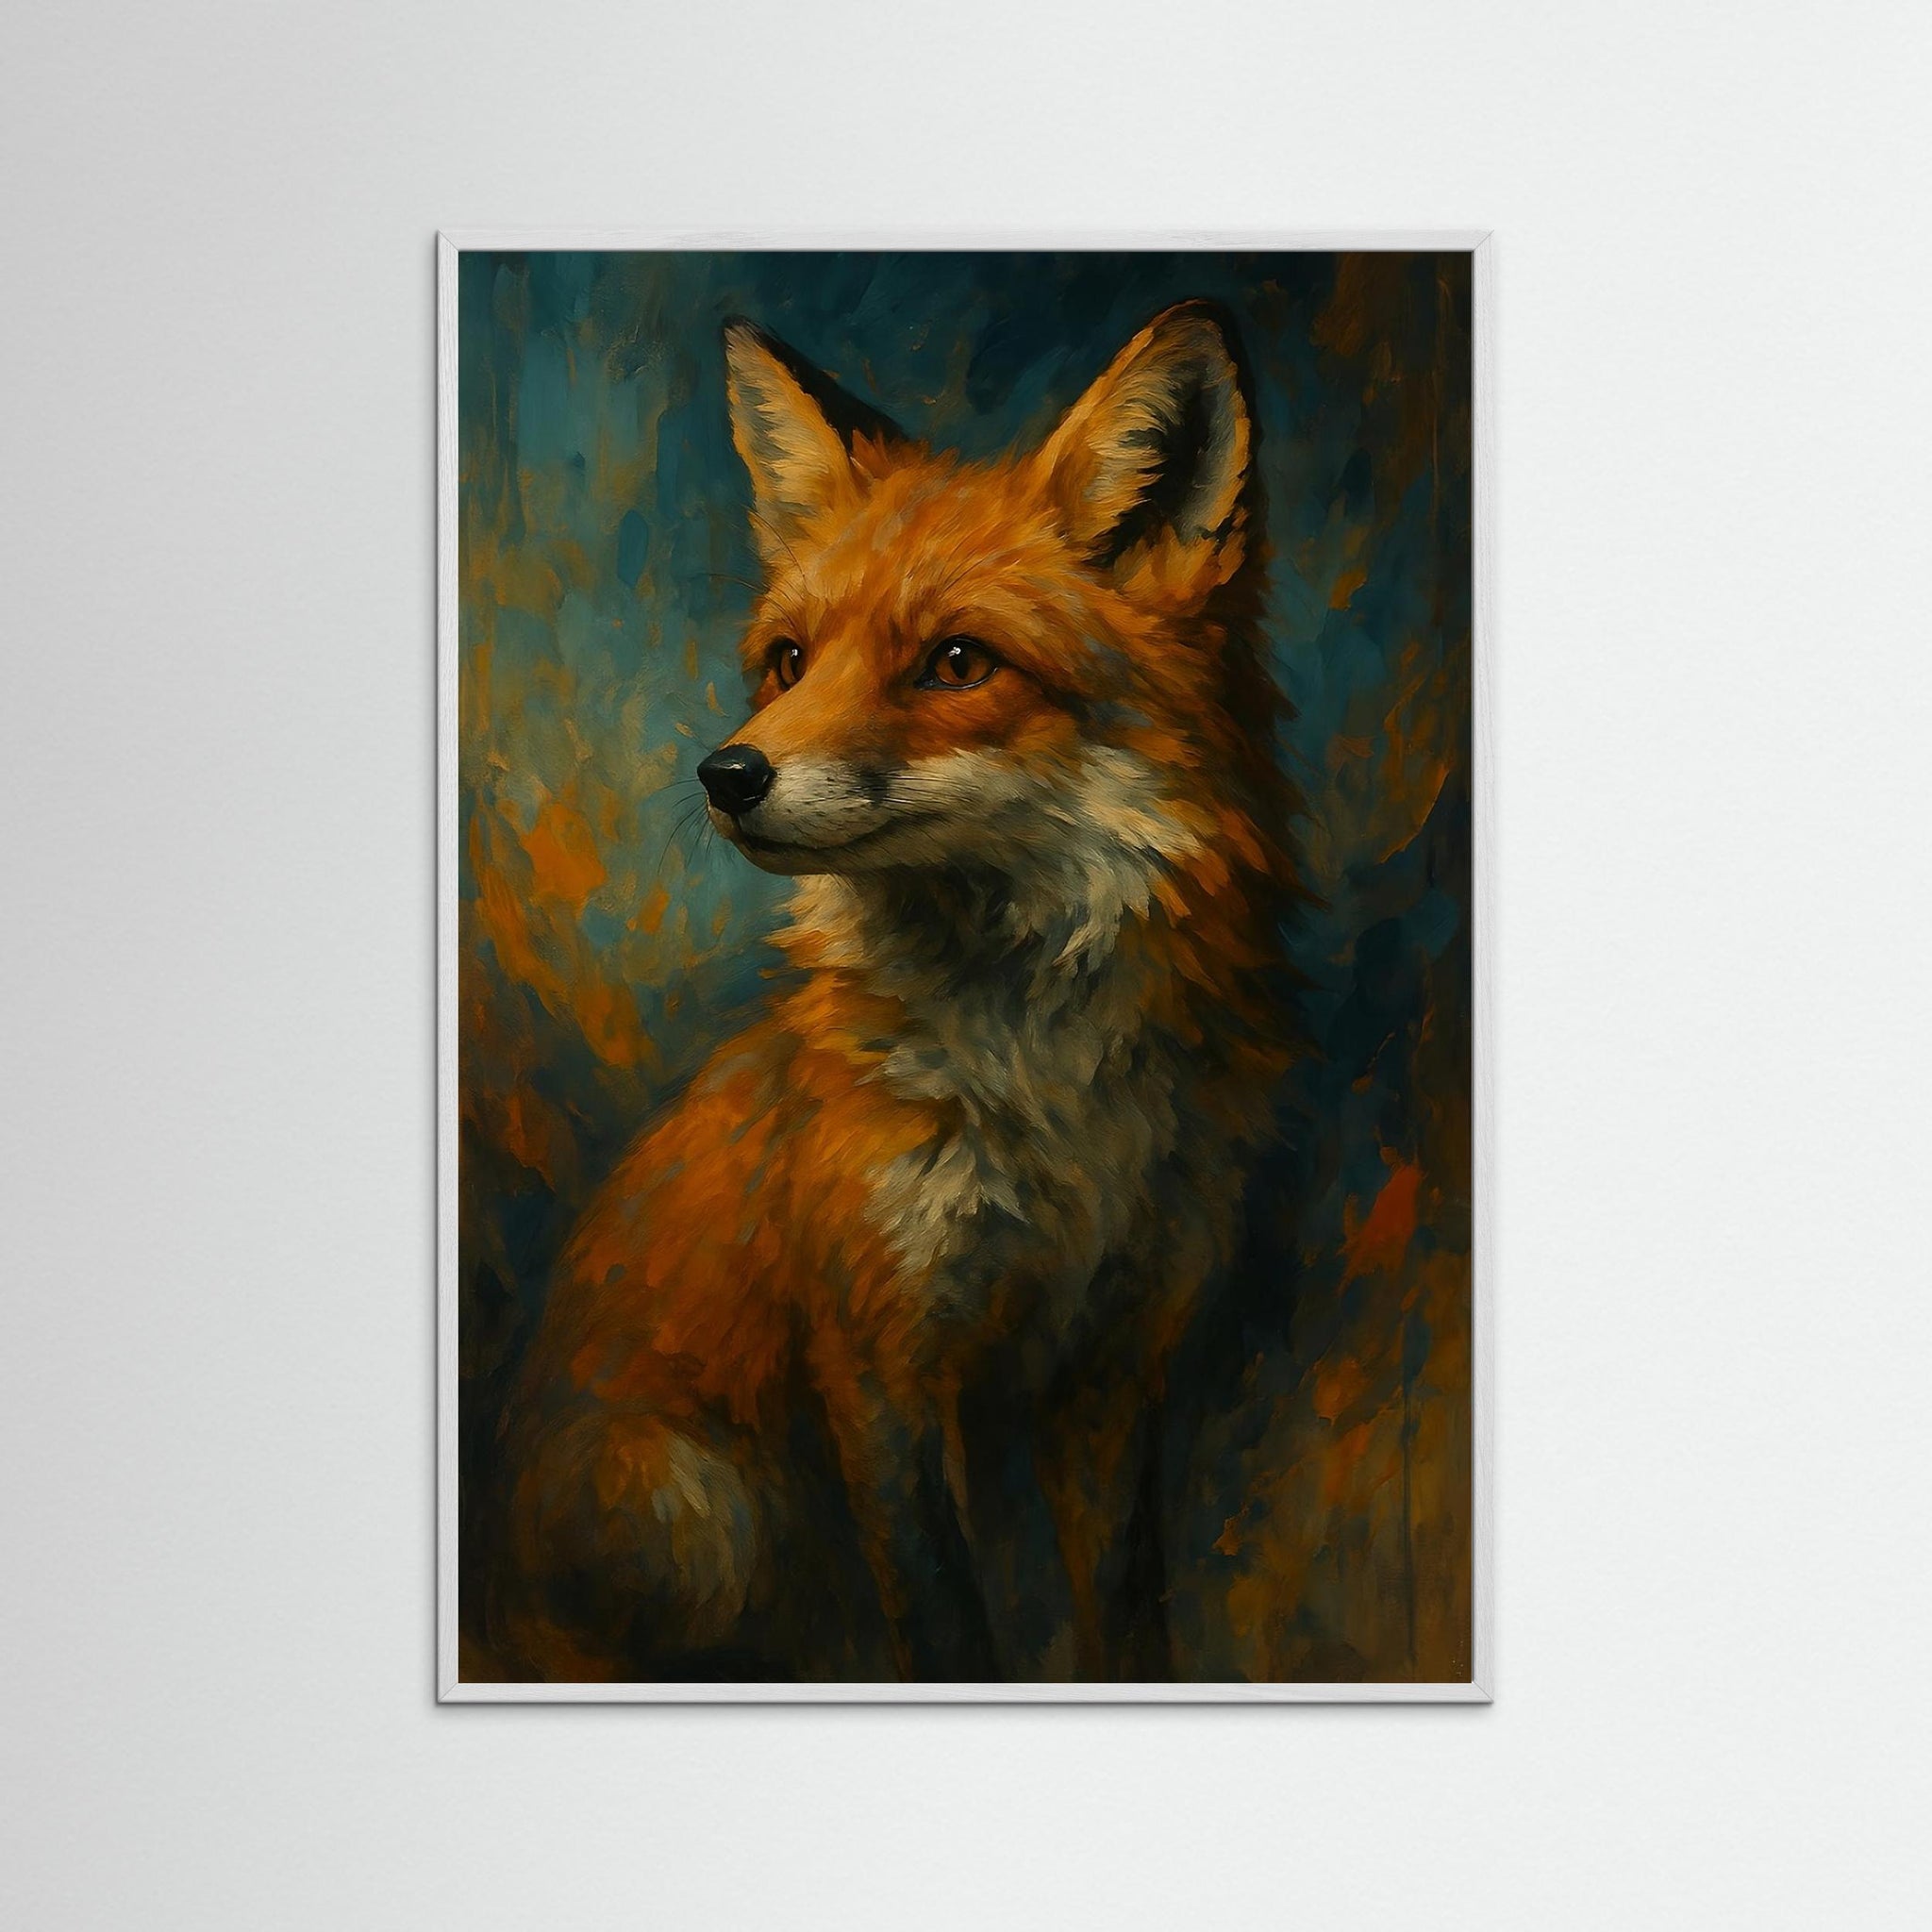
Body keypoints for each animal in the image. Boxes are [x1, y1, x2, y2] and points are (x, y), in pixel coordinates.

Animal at [493, 301, 1304, 1682]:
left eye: (956, 662)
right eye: (788, 660)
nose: (725, 775)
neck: (1040, 1083)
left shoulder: (1113, 1357)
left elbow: (1123, 1608)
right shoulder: (881, 1360)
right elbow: (942, 1623)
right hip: (708, 1520)